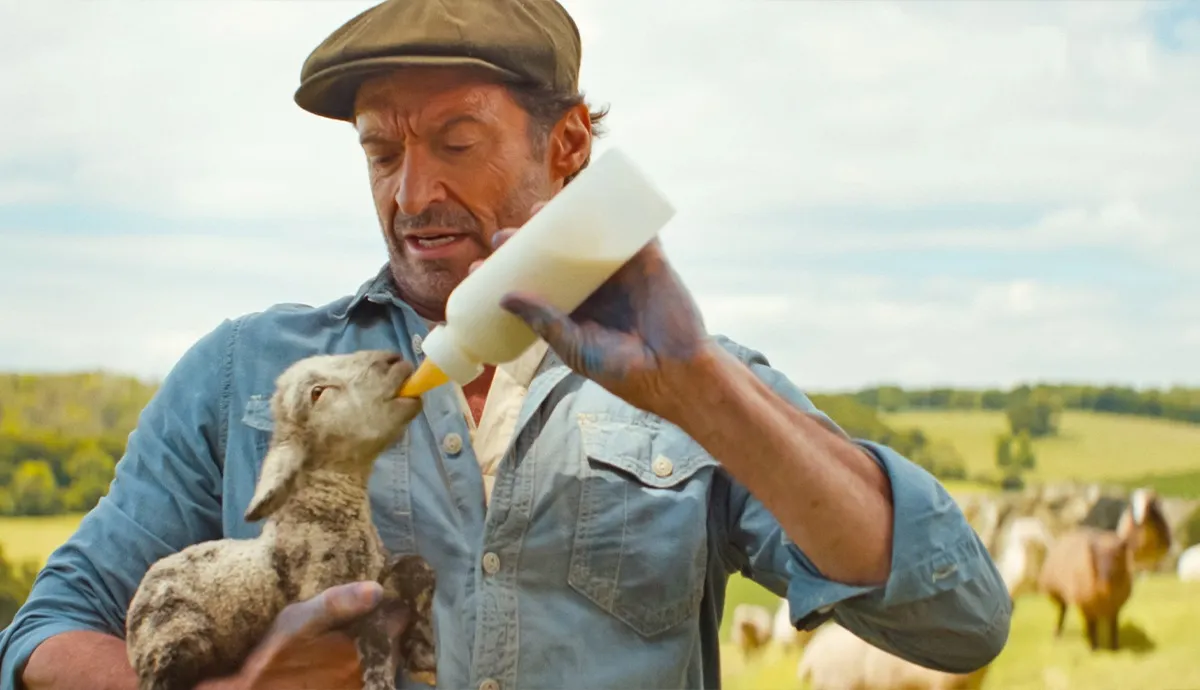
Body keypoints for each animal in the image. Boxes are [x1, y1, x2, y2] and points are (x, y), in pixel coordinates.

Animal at [125, 350, 437, 690]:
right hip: (174, 640)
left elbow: (419, 569)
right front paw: (381, 677)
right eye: (317, 392)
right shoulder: (326, 594)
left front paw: (423, 653)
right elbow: (374, 624)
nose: (394, 359)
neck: (325, 507)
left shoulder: (377, 572)